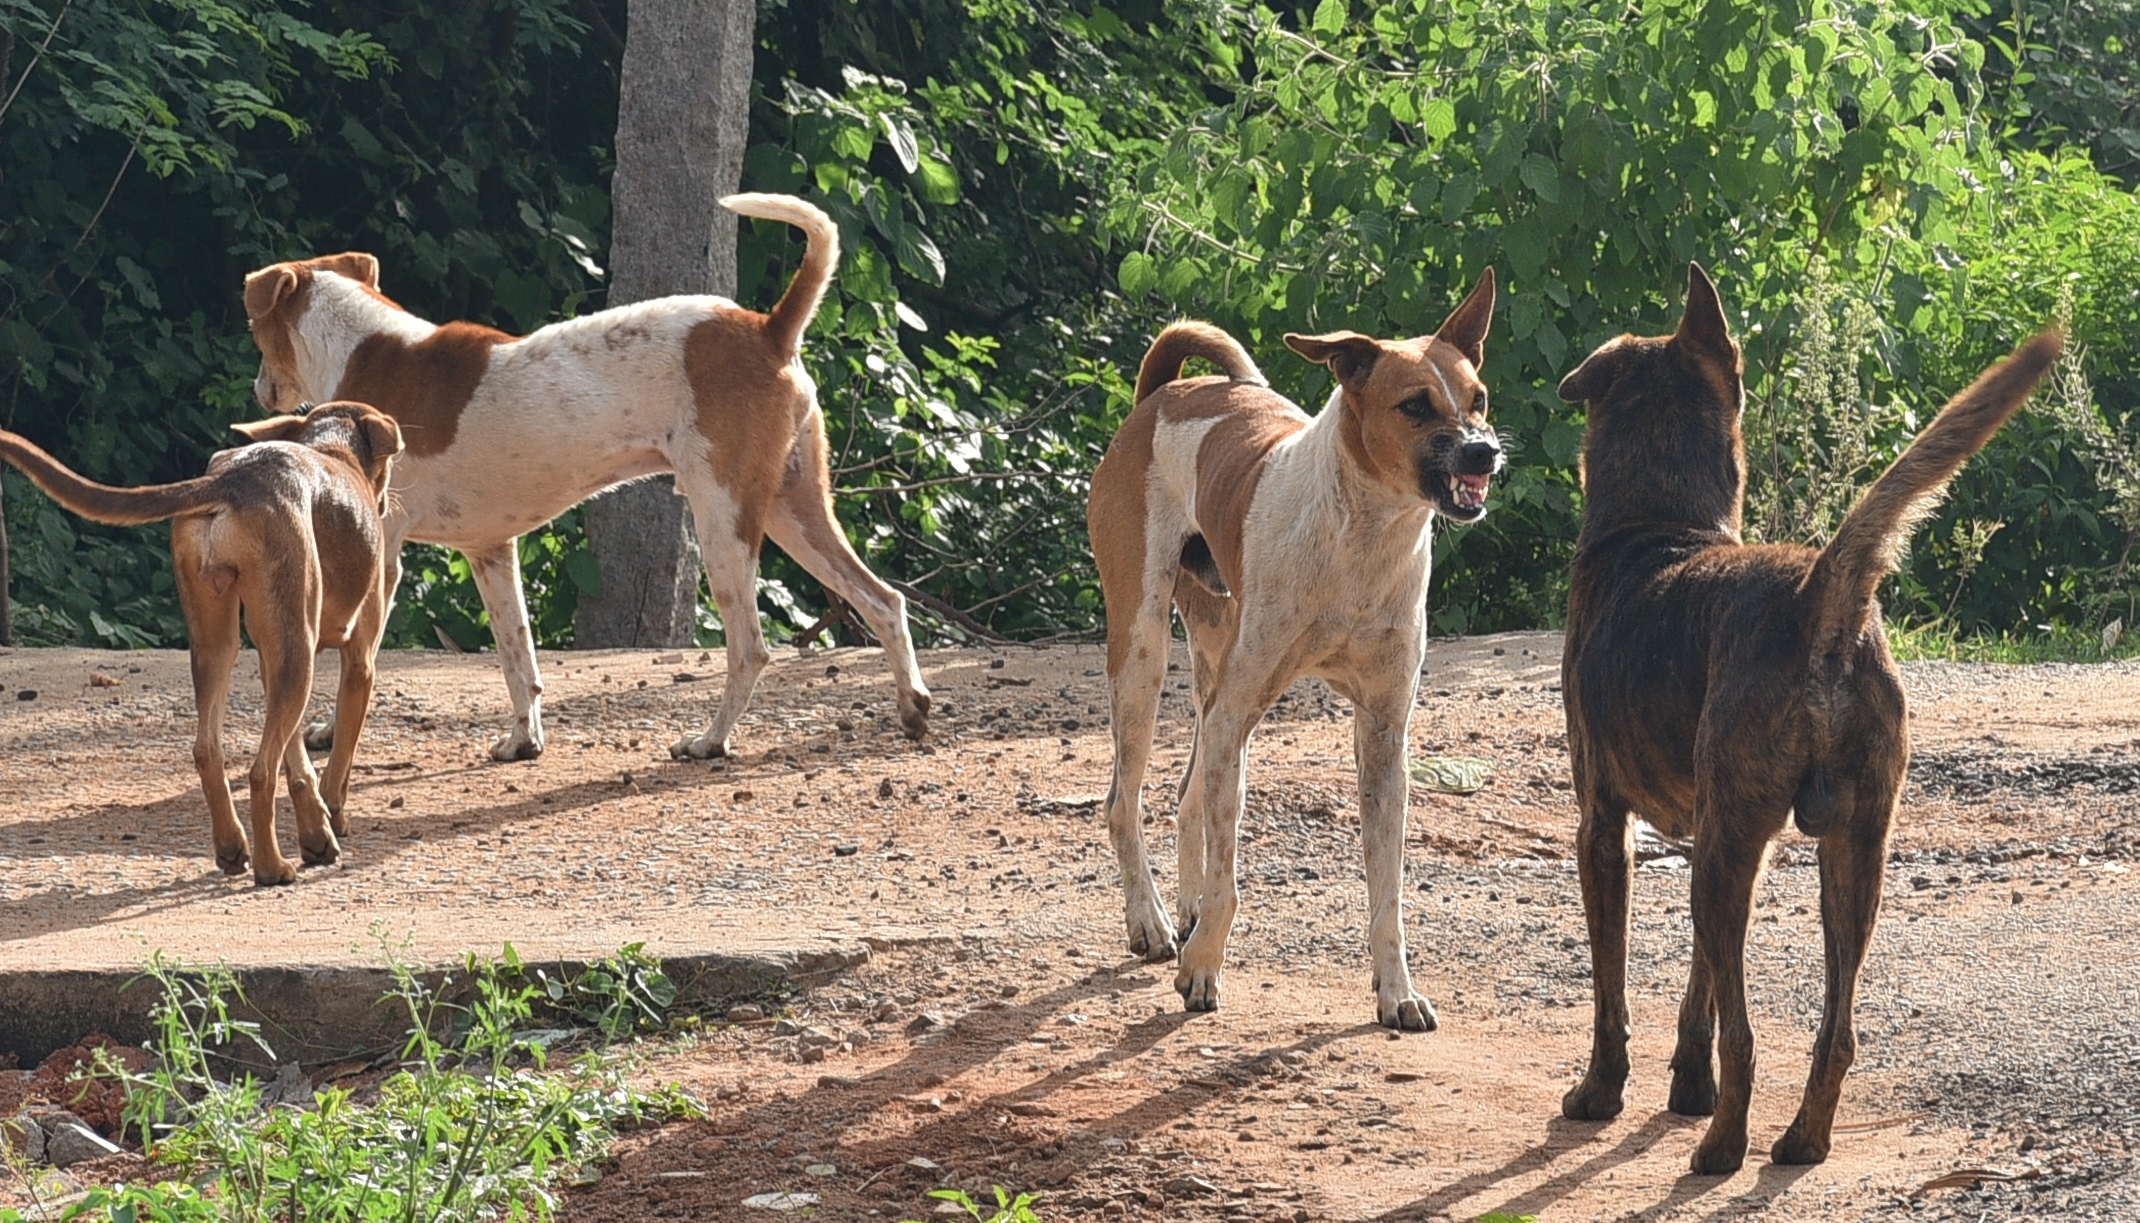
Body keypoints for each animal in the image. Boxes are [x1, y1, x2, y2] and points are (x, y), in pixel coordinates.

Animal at [0, 406, 404, 886]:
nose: (387, 504)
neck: (332, 448)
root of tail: (235, 479)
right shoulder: (359, 664)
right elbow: (335, 763)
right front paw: (333, 821)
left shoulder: (271, 658)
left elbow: (299, 766)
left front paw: (316, 834)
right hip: (296, 653)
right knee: (260, 771)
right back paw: (271, 867)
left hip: (223, 644)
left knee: (208, 751)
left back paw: (232, 847)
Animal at [242, 192, 928, 766]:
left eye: (254, 330)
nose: (257, 389)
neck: (361, 347)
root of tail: (769, 328)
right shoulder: (491, 551)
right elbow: (518, 658)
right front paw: (524, 740)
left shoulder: (384, 554)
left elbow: (357, 659)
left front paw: (331, 733)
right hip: (795, 511)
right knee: (883, 600)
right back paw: (913, 707)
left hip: (725, 523)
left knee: (752, 647)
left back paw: (711, 741)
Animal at [1087, 273, 1506, 1028]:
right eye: (1415, 405)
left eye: (1478, 397)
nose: (1482, 451)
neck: (1361, 541)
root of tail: (1162, 397)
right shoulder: (1238, 712)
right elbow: (1230, 880)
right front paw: (1202, 968)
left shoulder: (1384, 736)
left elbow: (1387, 893)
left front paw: (1396, 990)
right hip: (1144, 657)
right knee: (1122, 803)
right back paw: (1152, 921)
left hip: (1214, 666)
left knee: (1188, 797)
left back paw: (1184, 910)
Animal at [1557, 263, 2054, 1173]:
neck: (1662, 526)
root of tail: (1819, 595)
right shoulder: (1713, 833)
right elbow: (1700, 989)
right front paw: (1686, 1086)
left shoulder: (1604, 827)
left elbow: (1615, 988)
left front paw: (1601, 1093)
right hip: (1852, 850)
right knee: (1838, 1029)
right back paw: (1801, 1138)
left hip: (1736, 857)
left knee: (1750, 1038)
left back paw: (1722, 1146)